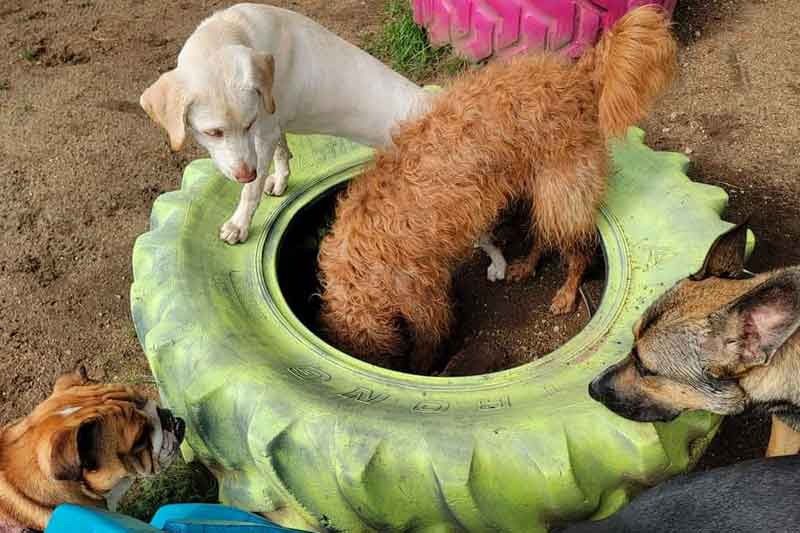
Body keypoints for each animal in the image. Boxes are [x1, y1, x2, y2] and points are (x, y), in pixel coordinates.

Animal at [318, 6, 676, 372]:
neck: (359, 265)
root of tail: (578, 76)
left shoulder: (423, 294)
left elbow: (429, 338)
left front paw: (421, 367)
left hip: (561, 190)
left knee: (577, 250)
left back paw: (566, 293)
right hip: (540, 188)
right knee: (543, 235)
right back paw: (525, 266)